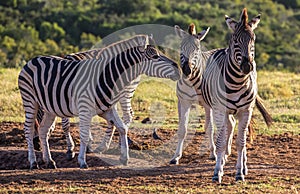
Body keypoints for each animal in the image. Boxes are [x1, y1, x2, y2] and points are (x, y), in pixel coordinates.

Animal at [18, 34, 180, 169]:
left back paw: (49, 161)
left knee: (43, 130)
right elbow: (83, 133)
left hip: (49, 108)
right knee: (28, 129)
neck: (107, 76)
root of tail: (32, 60)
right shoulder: (84, 108)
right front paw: (81, 160)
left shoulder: (106, 109)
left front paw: (124, 157)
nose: (179, 69)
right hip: (30, 100)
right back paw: (33, 162)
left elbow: (122, 127)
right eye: (155, 56)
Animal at [200, 7, 262, 183]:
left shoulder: (246, 111)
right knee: (228, 128)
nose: (247, 66)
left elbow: (241, 142)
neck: (237, 82)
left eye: (253, 40)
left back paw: (244, 167)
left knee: (242, 133)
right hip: (223, 111)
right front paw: (217, 172)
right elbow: (220, 142)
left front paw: (239, 173)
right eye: (235, 41)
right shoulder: (220, 110)